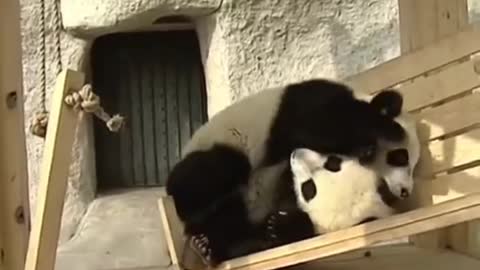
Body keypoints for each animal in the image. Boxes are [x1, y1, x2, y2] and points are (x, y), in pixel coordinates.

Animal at [166, 79, 408, 266]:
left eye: (308, 190)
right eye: (333, 162)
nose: (402, 190)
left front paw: (277, 228)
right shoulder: (306, 105)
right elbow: (319, 124)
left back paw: (207, 246)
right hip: (217, 149)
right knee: (213, 173)